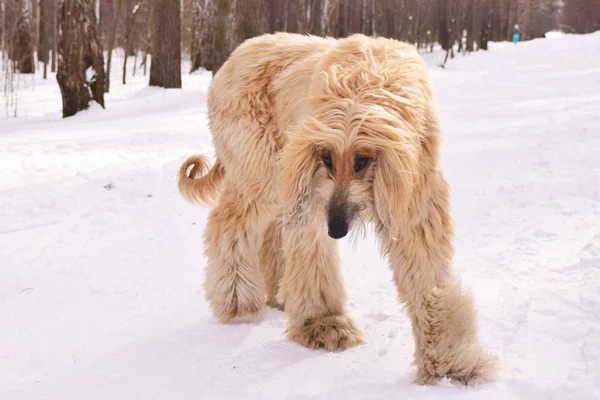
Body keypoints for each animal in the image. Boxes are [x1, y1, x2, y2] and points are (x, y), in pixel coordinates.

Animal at [178, 32, 496, 384]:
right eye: (327, 158)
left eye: (362, 160)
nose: (337, 229)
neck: (363, 81)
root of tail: (232, 57)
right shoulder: (312, 184)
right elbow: (312, 253)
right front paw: (322, 323)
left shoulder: (415, 196)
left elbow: (428, 275)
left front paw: (450, 363)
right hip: (260, 166)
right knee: (229, 222)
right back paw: (236, 299)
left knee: (270, 232)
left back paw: (276, 293)